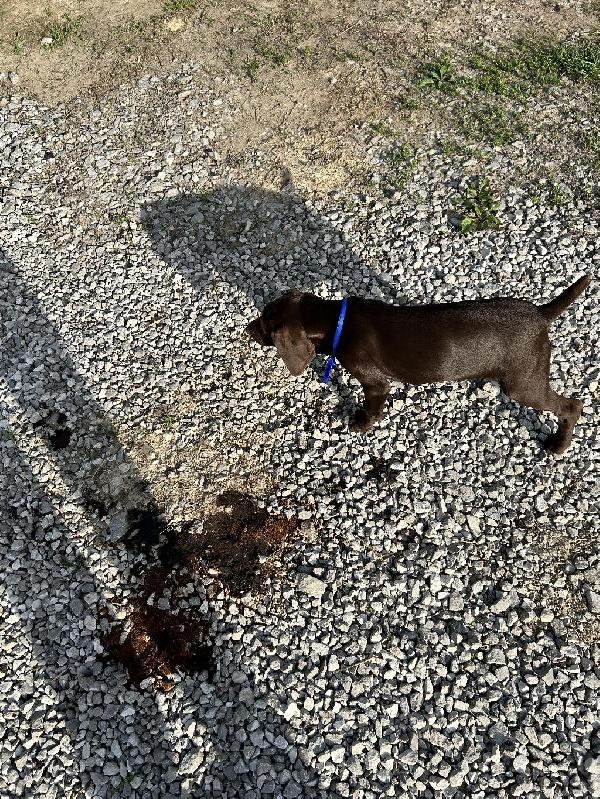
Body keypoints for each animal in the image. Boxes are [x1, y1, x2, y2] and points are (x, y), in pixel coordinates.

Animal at [247, 276, 592, 456]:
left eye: (265, 325)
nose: (247, 328)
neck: (336, 320)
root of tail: (540, 314)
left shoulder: (375, 382)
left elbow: (371, 406)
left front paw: (361, 424)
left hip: (522, 383)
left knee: (572, 406)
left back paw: (559, 445)